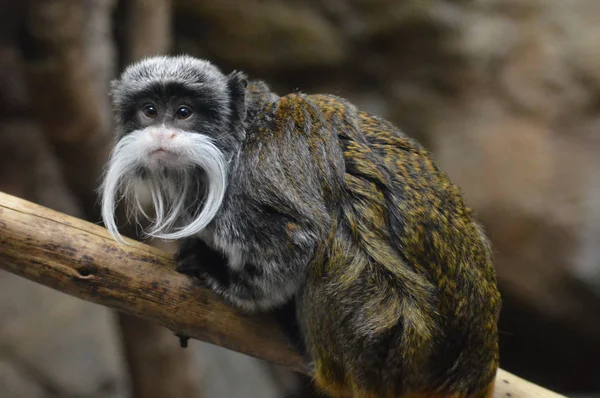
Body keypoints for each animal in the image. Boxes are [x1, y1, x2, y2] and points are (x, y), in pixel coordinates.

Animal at [102, 55, 502, 398]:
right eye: (150, 111)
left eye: (184, 113)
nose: (162, 134)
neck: (238, 139)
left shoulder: (254, 180)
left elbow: (295, 243)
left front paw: (220, 276)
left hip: (385, 339)